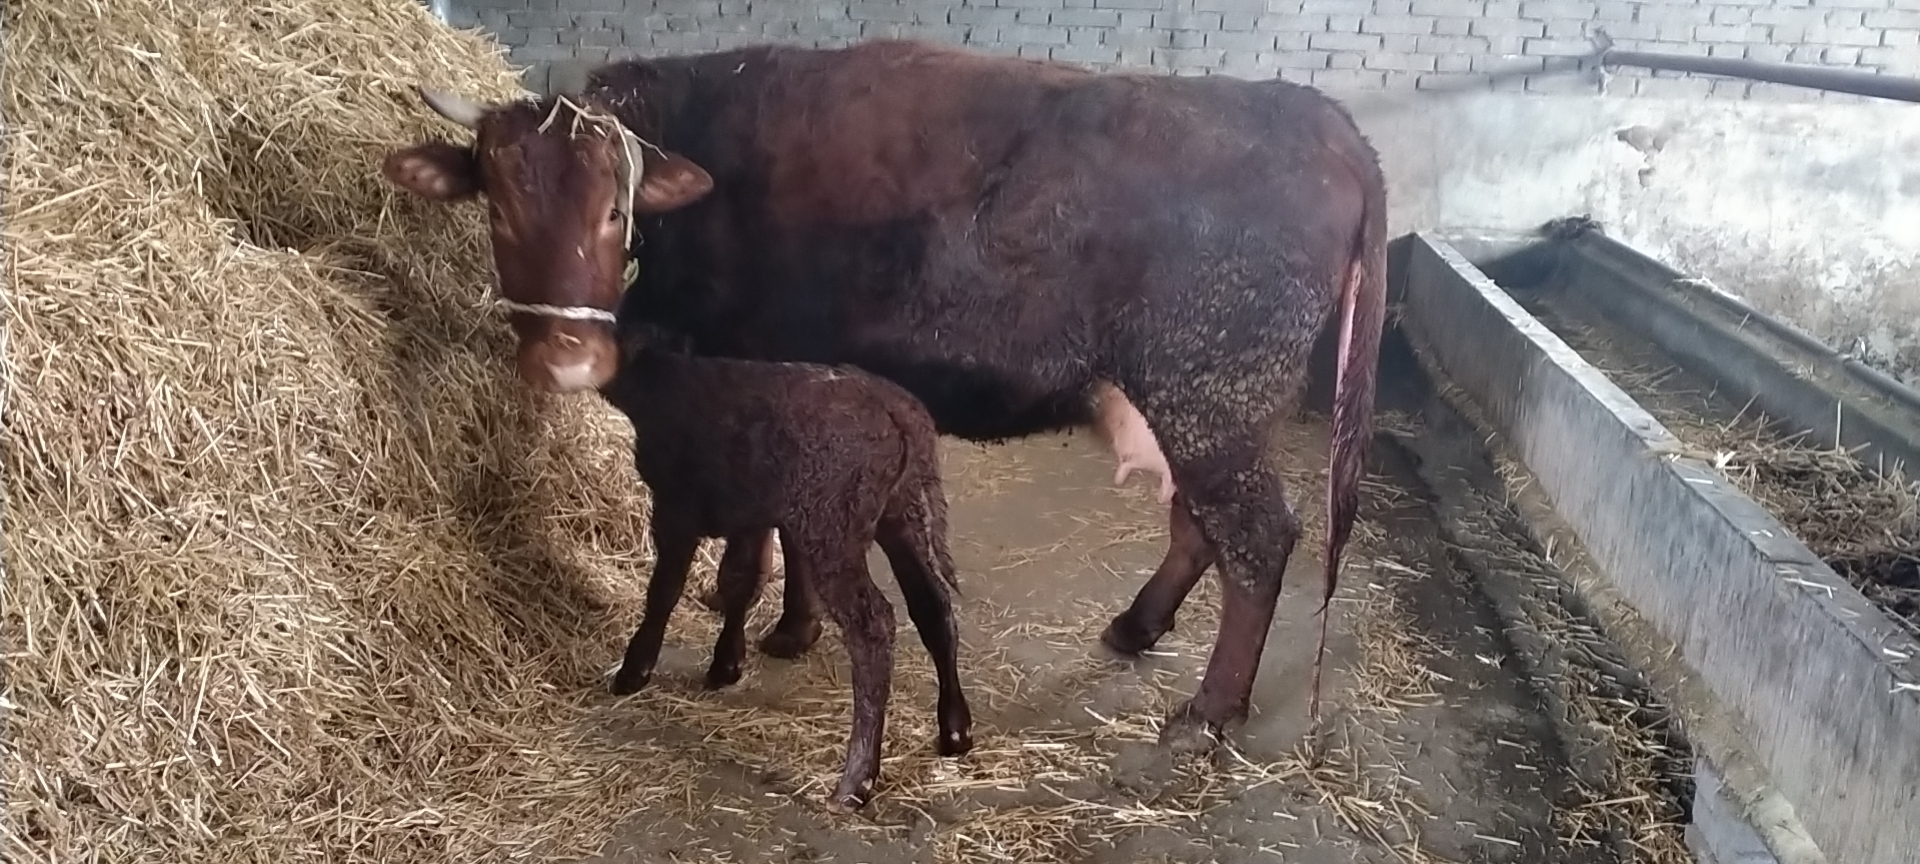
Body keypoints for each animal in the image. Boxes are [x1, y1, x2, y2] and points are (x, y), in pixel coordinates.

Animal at [385, 38, 1382, 748]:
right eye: (499, 206)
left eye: (614, 209)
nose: (567, 360)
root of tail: (1319, 116)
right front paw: (787, 623)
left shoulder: (760, 372)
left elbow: (769, 531)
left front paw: (773, 630)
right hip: (1194, 404)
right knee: (1201, 524)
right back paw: (1137, 626)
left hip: (1211, 393)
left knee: (1257, 538)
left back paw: (1209, 711)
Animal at [606, 322, 975, 810]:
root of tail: (898, 412)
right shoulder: (748, 513)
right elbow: (740, 580)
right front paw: (725, 665)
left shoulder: (676, 509)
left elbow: (664, 589)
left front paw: (634, 671)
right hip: (903, 512)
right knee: (933, 606)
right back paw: (954, 729)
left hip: (833, 528)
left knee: (874, 626)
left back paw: (856, 781)